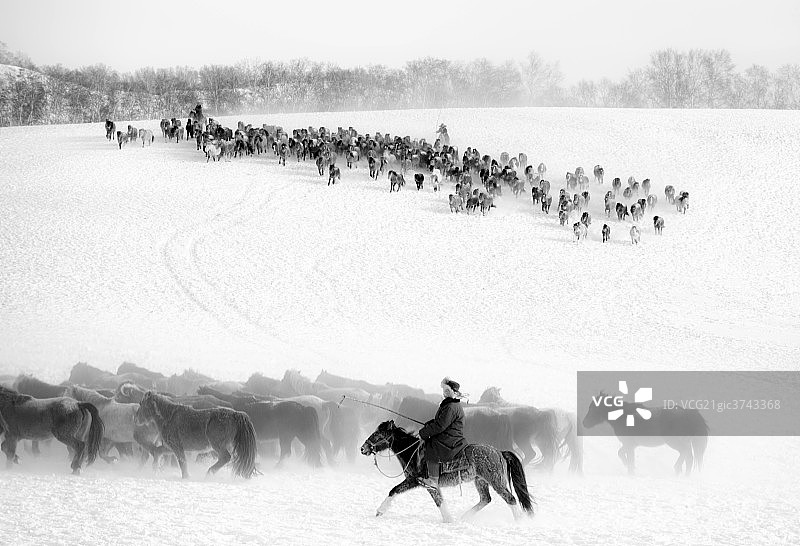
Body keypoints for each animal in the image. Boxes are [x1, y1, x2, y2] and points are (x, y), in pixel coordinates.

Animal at [361, 421, 534, 522]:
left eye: (377, 434)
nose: (363, 448)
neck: (413, 452)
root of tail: (499, 452)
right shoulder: (418, 482)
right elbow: (396, 491)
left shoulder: (419, 481)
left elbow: (396, 490)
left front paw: (379, 511)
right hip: (480, 481)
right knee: (486, 499)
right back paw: (464, 517)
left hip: (496, 480)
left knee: (510, 499)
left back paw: (519, 522)